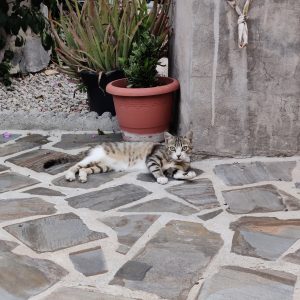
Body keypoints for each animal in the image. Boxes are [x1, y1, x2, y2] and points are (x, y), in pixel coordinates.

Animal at [64, 132, 197, 185]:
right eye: (172, 148)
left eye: (184, 148)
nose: (178, 155)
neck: (175, 161)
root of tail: (96, 146)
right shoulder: (152, 159)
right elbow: (156, 169)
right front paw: (161, 178)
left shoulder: (170, 169)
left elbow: (178, 173)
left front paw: (189, 174)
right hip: (94, 157)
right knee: (76, 166)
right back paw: (70, 175)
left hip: (103, 166)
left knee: (84, 169)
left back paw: (82, 177)